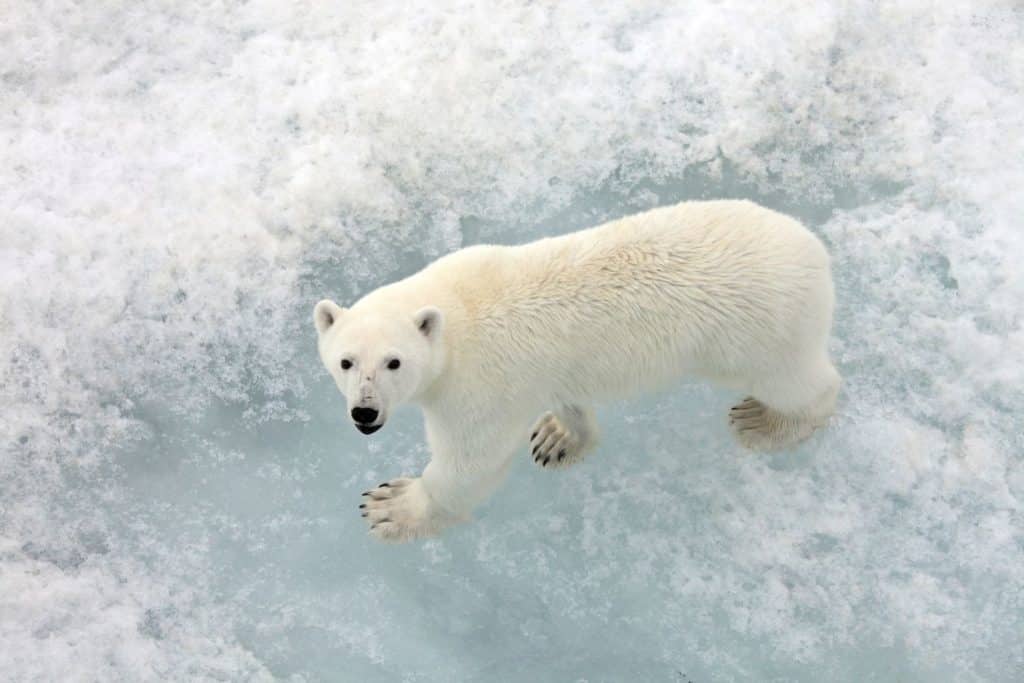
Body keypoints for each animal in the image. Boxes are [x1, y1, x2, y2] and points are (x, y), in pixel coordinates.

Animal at [314, 200, 840, 542]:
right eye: (345, 361)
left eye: (394, 362)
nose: (364, 413)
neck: (456, 310)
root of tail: (817, 252)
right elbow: (565, 400)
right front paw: (558, 436)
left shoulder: (478, 388)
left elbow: (471, 462)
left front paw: (393, 507)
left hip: (755, 332)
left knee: (797, 382)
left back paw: (765, 422)